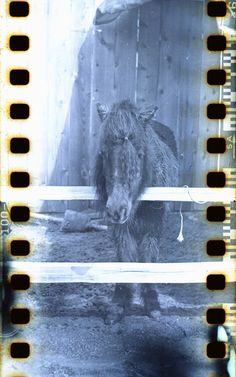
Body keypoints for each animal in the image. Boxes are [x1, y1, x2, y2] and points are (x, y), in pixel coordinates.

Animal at [94, 99, 177, 318]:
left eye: (141, 155)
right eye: (103, 153)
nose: (117, 209)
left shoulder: (154, 227)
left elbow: (148, 259)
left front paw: (152, 303)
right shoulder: (120, 229)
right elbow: (125, 259)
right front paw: (119, 303)